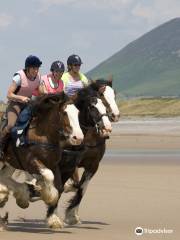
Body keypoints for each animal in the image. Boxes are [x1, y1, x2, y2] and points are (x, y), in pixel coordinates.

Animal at [0, 92, 83, 229]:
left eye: (77, 112)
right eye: (64, 113)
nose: (78, 138)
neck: (42, 136)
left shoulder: (54, 164)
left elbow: (59, 186)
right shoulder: (30, 162)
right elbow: (48, 175)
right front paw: (47, 194)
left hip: (9, 164)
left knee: (5, 178)